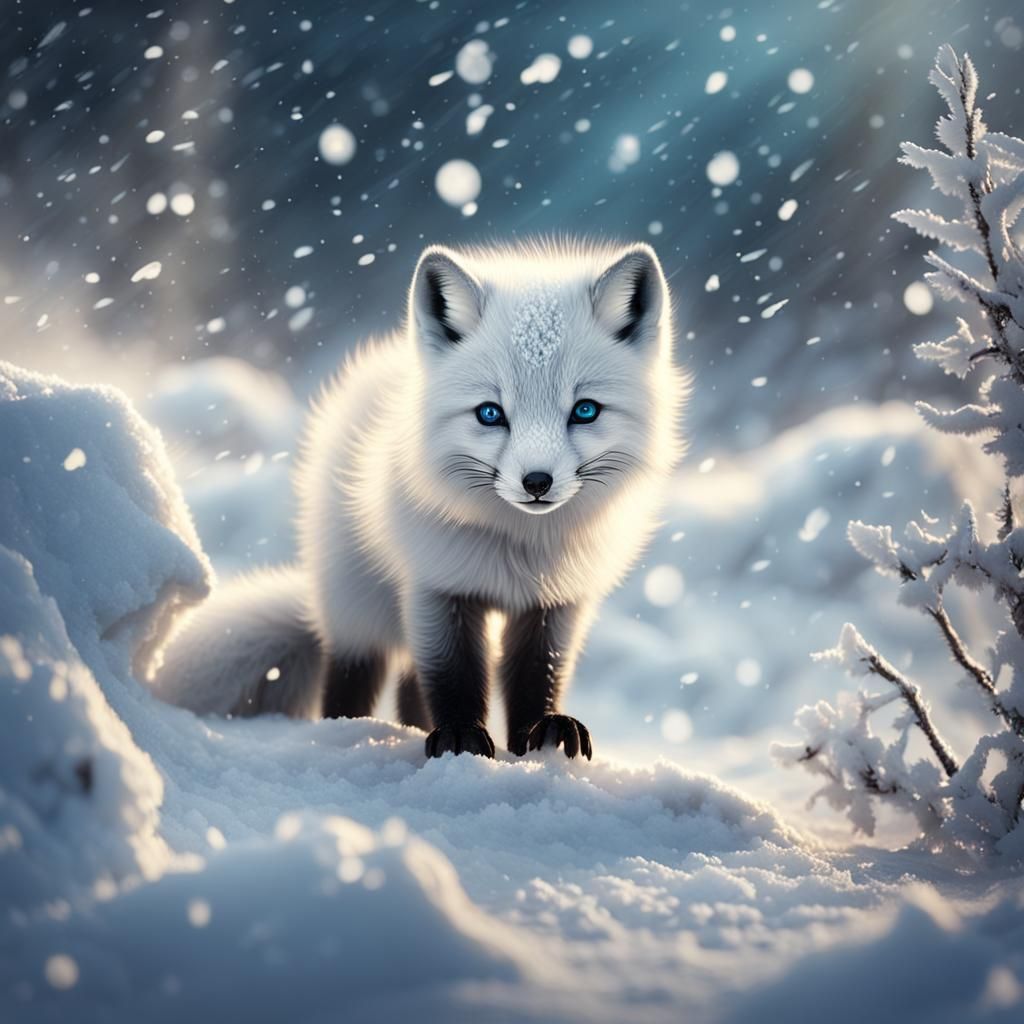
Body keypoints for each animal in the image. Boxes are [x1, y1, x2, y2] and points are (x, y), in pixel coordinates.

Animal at [153, 240, 687, 760]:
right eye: (490, 414)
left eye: (585, 411)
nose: (537, 482)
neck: (519, 550)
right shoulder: (436, 587)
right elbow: (453, 675)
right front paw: (460, 736)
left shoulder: (555, 604)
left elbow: (537, 676)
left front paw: (541, 733)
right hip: (358, 605)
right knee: (355, 676)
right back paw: (349, 731)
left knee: (410, 687)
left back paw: (412, 729)